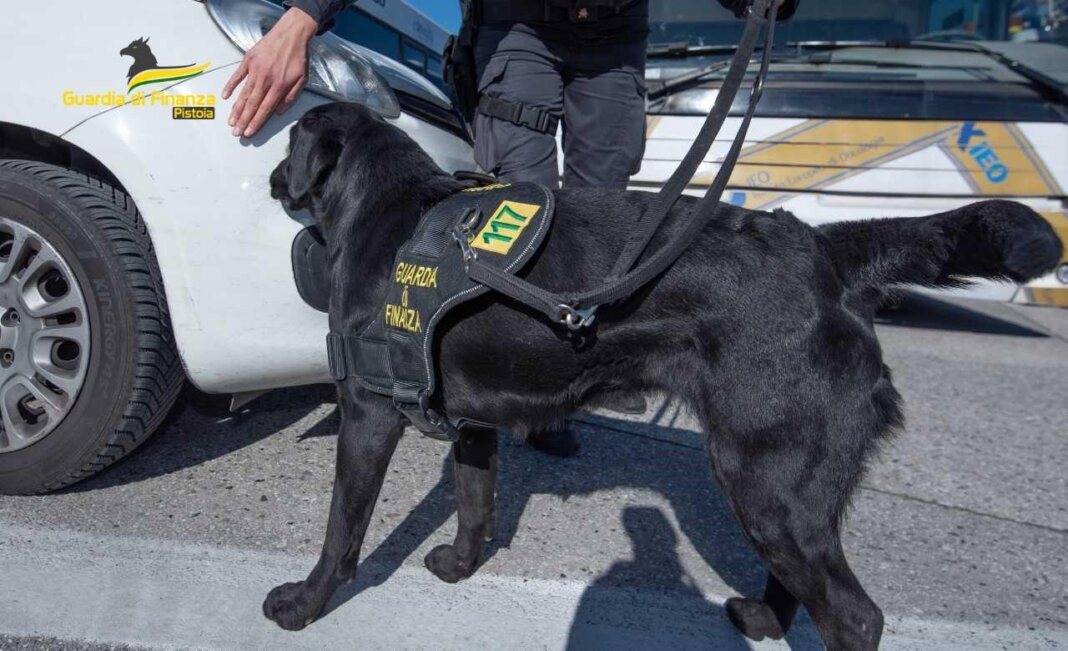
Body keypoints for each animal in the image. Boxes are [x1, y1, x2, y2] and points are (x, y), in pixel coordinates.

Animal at [262, 101, 1063, 644]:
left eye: (289, 136)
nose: (269, 173)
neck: (388, 208)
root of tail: (824, 250)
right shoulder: (474, 423)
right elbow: (475, 505)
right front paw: (461, 567)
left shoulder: (368, 412)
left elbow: (342, 530)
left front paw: (304, 605)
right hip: (784, 486)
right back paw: (763, 619)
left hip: (765, 478)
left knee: (857, 616)